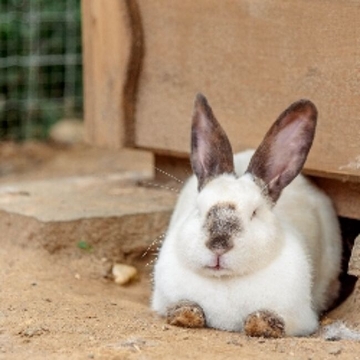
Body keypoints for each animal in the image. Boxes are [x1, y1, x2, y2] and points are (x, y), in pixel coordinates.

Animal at [150, 93, 342, 338]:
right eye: (198, 209)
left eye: (255, 212)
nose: (218, 245)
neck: (226, 281)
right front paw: (185, 313)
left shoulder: (299, 318)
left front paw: (262, 324)